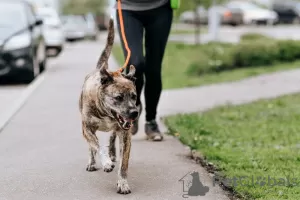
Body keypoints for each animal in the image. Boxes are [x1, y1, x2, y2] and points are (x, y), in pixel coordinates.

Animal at [78, 18, 138, 195]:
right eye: (118, 97)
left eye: (134, 96)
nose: (134, 113)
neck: (105, 113)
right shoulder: (87, 128)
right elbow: (97, 147)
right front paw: (105, 162)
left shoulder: (125, 134)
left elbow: (124, 164)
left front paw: (122, 182)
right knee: (92, 147)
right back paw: (93, 162)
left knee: (112, 137)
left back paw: (112, 153)